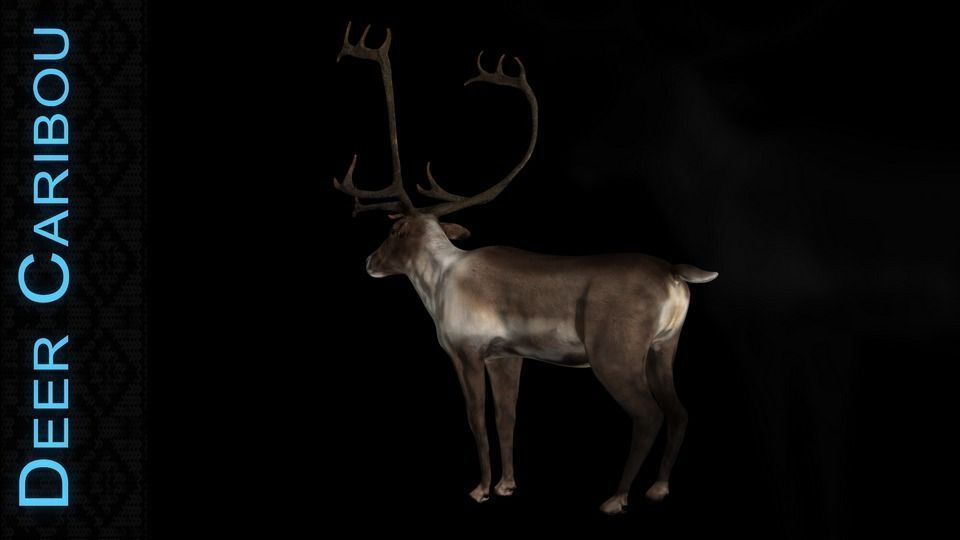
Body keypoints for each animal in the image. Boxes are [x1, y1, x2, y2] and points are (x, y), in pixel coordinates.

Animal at [333, 22, 718, 515]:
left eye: (393, 230)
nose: (368, 262)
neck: (439, 283)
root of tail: (675, 274)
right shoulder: (507, 354)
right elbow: (507, 418)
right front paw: (507, 485)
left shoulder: (466, 349)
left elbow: (477, 419)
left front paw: (480, 489)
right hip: (665, 345)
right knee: (680, 410)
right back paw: (658, 488)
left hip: (615, 353)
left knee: (648, 414)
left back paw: (615, 497)